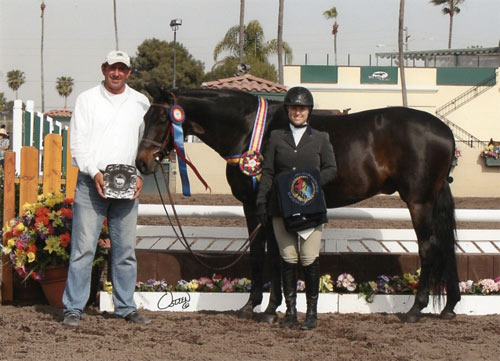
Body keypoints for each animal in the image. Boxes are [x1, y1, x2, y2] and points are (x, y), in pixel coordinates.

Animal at [135, 88, 458, 324]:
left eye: (162, 119)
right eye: (145, 117)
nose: (142, 162)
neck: (247, 129)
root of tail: (444, 131)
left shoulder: (259, 207)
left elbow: (266, 256)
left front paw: (262, 308)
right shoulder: (262, 208)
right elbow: (268, 254)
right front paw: (261, 306)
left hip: (419, 202)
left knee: (429, 247)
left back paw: (415, 310)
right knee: (444, 246)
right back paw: (449, 306)